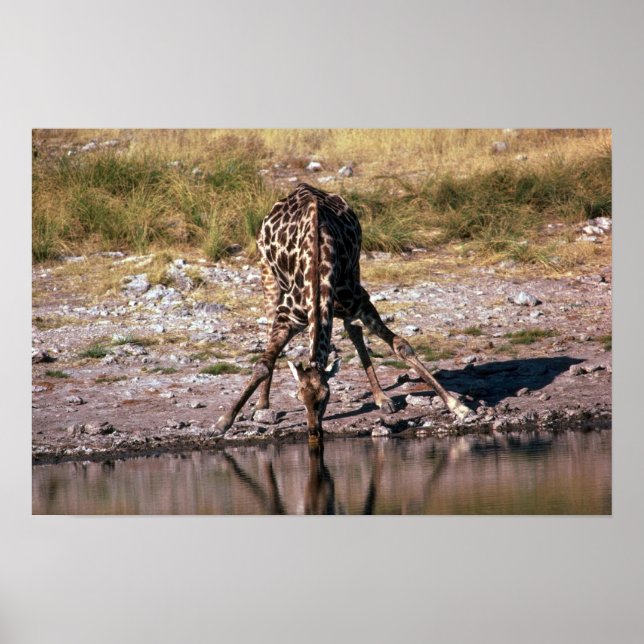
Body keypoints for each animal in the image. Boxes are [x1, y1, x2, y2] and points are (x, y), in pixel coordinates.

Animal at [215, 183, 472, 441]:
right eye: (298, 398)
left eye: (326, 397)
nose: (313, 432)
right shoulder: (287, 316)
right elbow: (263, 363)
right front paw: (224, 422)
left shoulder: (361, 302)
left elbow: (401, 345)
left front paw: (458, 407)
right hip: (268, 276)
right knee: (270, 330)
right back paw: (262, 404)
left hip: (355, 271)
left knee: (354, 330)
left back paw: (381, 397)